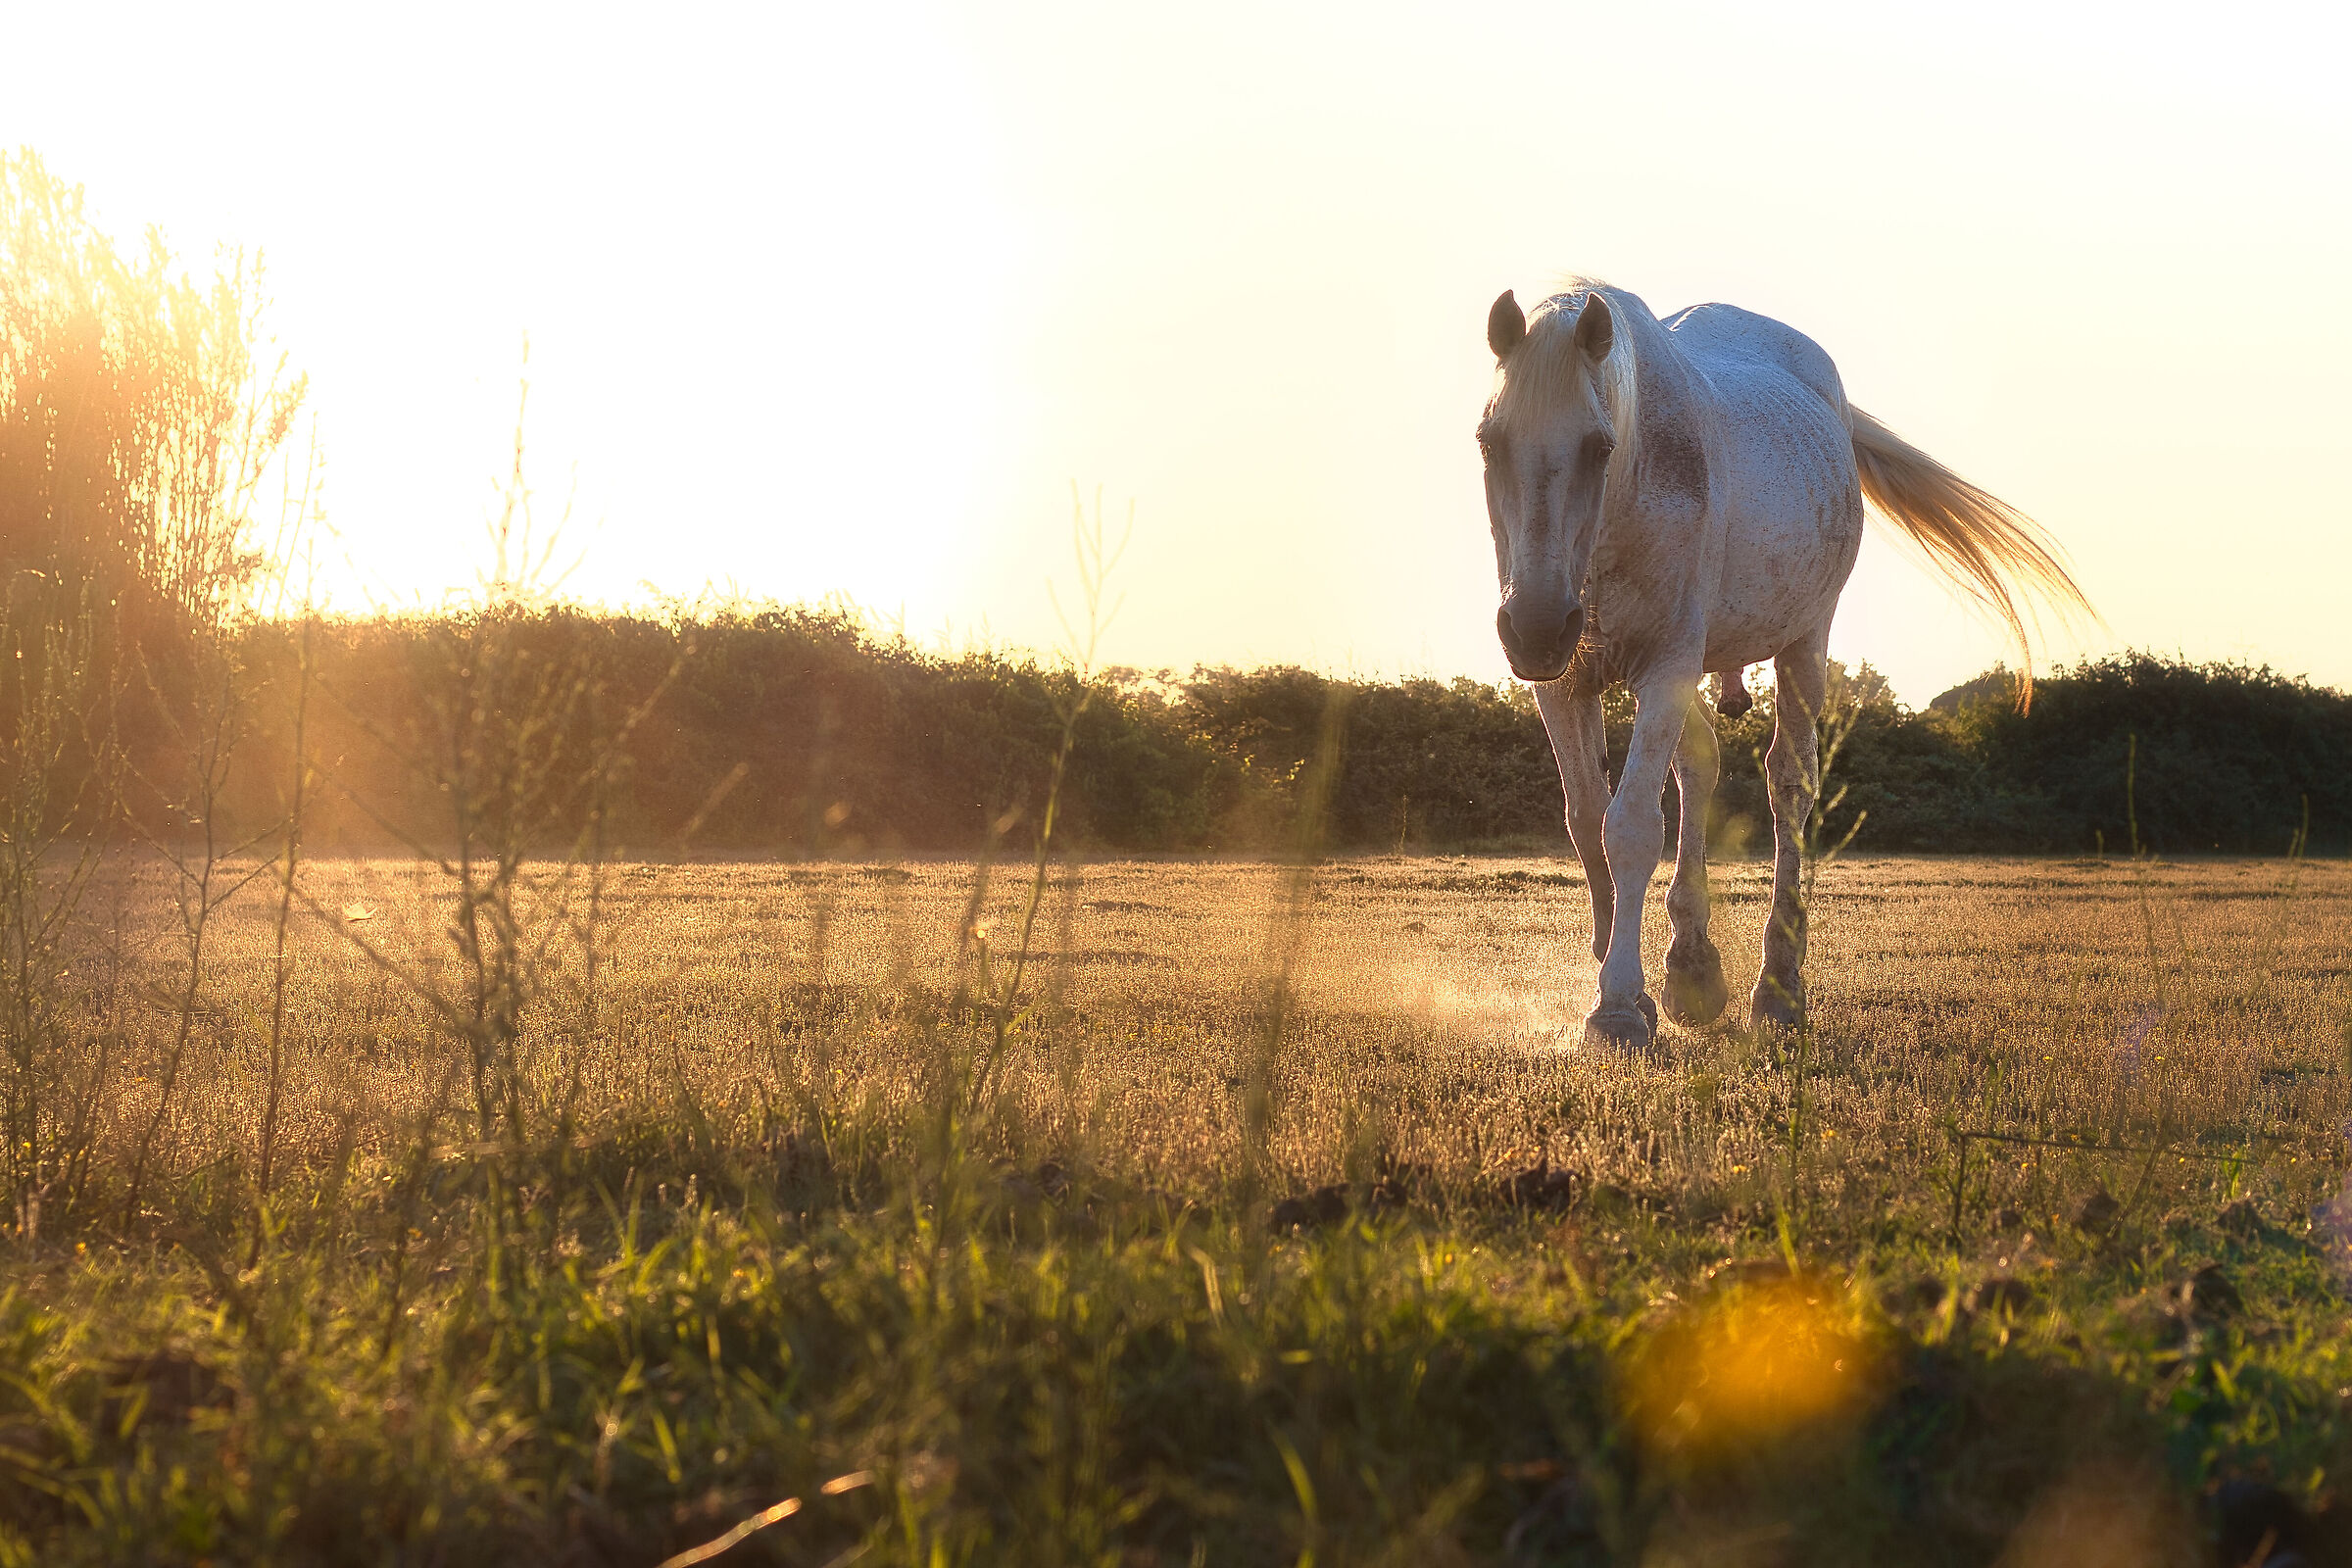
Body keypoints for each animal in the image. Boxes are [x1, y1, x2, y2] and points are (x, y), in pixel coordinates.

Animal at [1476, 280, 2090, 1048]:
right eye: (1488, 442)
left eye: (1600, 445)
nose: (1534, 626)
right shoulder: (1564, 686)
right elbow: (1587, 822)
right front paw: (1634, 985)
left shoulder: (1666, 667)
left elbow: (1632, 827)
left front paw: (1616, 1007)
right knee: (1700, 766)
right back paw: (1692, 968)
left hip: (1804, 642)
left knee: (1789, 783)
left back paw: (1778, 989)